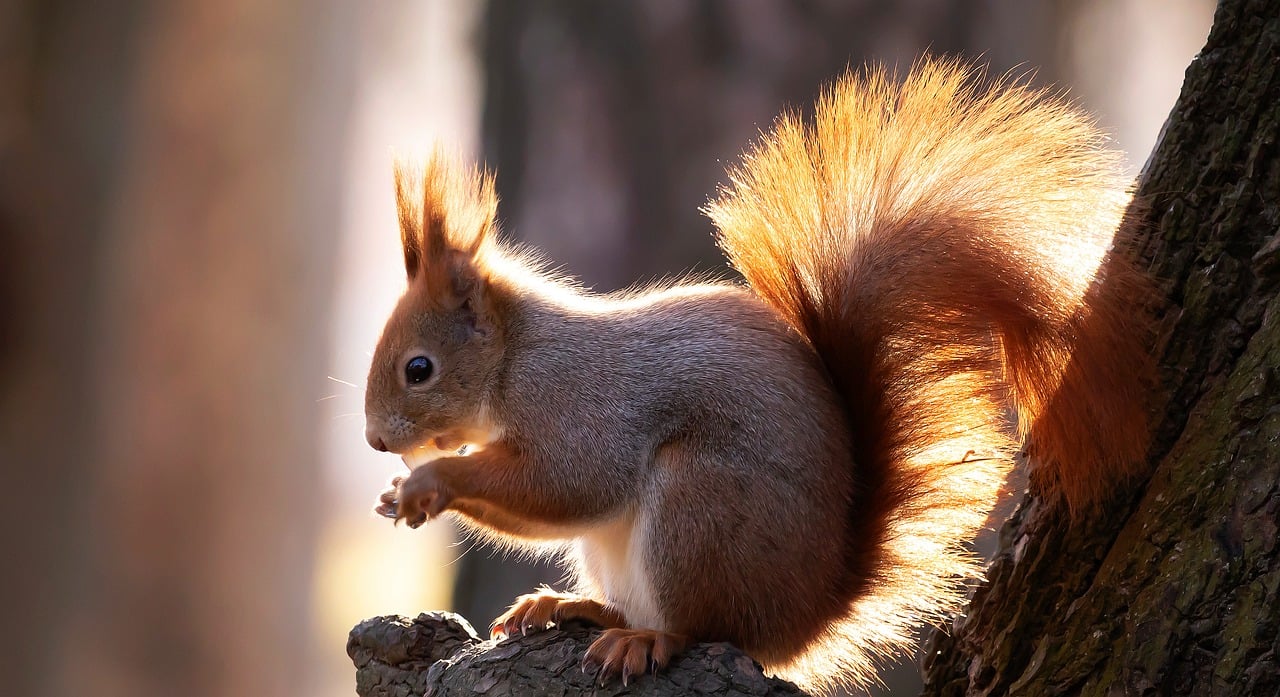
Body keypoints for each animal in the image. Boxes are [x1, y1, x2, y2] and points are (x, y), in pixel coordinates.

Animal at [362, 58, 1153, 693]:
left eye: (419, 369)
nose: (374, 441)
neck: (516, 358)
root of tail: (809, 613)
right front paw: (402, 491)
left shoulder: (583, 405)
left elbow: (569, 483)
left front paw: (430, 483)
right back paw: (570, 604)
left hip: (701, 507)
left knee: (709, 627)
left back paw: (649, 636)